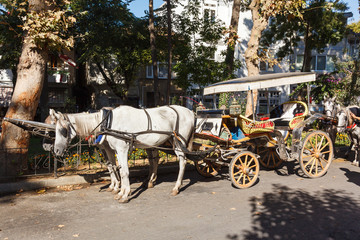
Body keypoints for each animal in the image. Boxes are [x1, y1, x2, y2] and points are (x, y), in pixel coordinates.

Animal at [51, 105, 194, 202]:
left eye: (63, 130)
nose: (56, 150)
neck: (108, 122)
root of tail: (191, 113)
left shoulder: (122, 149)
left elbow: (124, 172)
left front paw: (124, 194)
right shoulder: (113, 150)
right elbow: (116, 168)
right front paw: (119, 191)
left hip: (179, 141)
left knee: (182, 161)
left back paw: (176, 187)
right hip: (167, 142)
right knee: (158, 160)